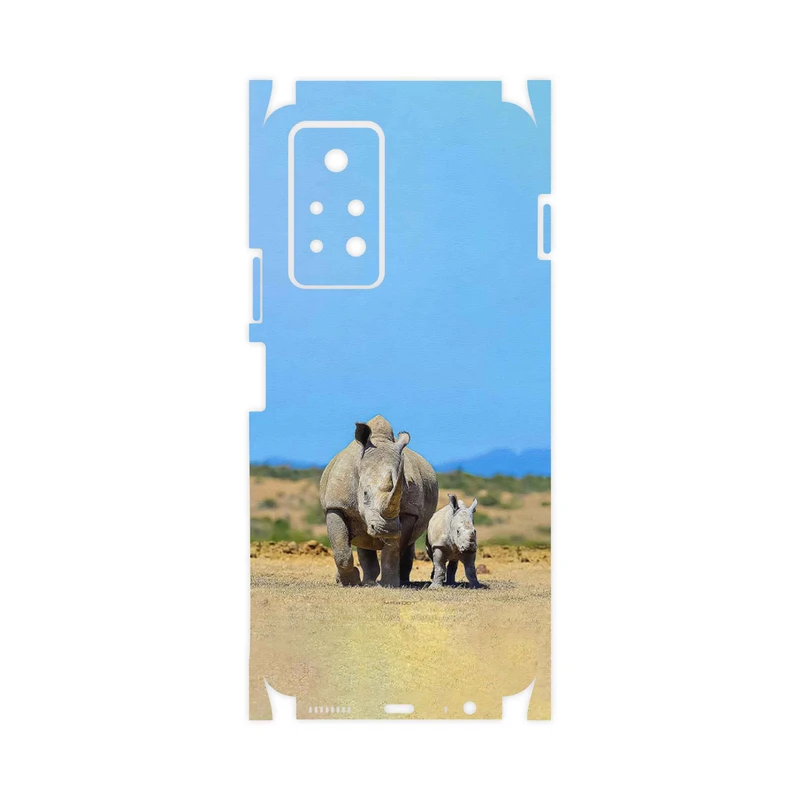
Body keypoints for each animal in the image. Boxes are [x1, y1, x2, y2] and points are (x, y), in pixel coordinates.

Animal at [319, 415, 438, 587]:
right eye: (365, 494)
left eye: (400, 495)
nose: (387, 529)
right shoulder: (336, 505)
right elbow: (341, 549)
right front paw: (349, 582)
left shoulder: (409, 512)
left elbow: (393, 549)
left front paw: (390, 584)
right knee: (363, 540)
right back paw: (366, 582)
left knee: (407, 543)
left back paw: (400, 581)